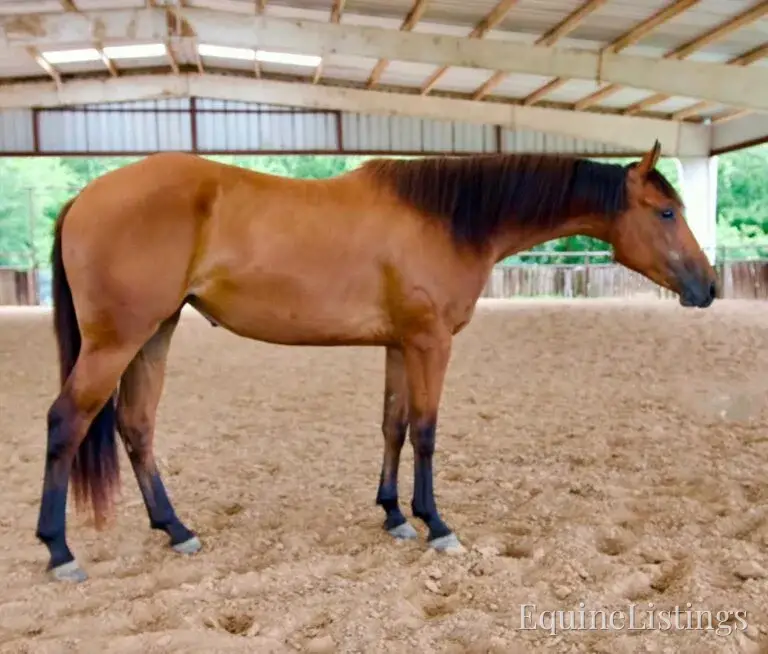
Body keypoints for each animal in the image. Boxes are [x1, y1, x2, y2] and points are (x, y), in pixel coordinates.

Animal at [36, 140, 717, 582]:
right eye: (665, 212)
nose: (709, 286)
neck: (451, 219)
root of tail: (84, 198)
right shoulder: (430, 342)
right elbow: (426, 431)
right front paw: (436, 524)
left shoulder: (398, 343)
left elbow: (393, 425)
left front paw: (393, 515)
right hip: (117, 341)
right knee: (67, 423)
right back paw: (60, 552)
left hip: (155, 332)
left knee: (136, 425)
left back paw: (175, 529)